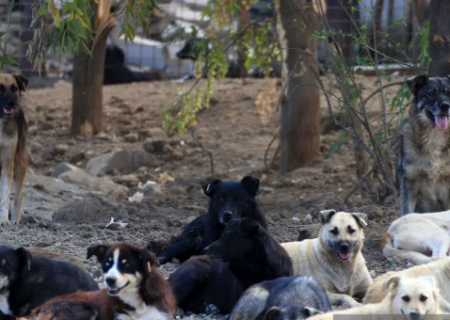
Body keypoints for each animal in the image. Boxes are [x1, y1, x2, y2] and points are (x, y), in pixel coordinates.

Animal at [31, 242, 176, 320]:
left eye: (126, 264)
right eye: (107, 264)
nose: (109, 280)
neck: (137, 302)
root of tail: (41, 307)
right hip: (86, 309)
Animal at [398, 74, 450, 215]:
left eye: (449, 93)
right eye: (431, 94)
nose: (446, 106)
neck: (434, 138)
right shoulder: (409, 183)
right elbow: (406, 212)